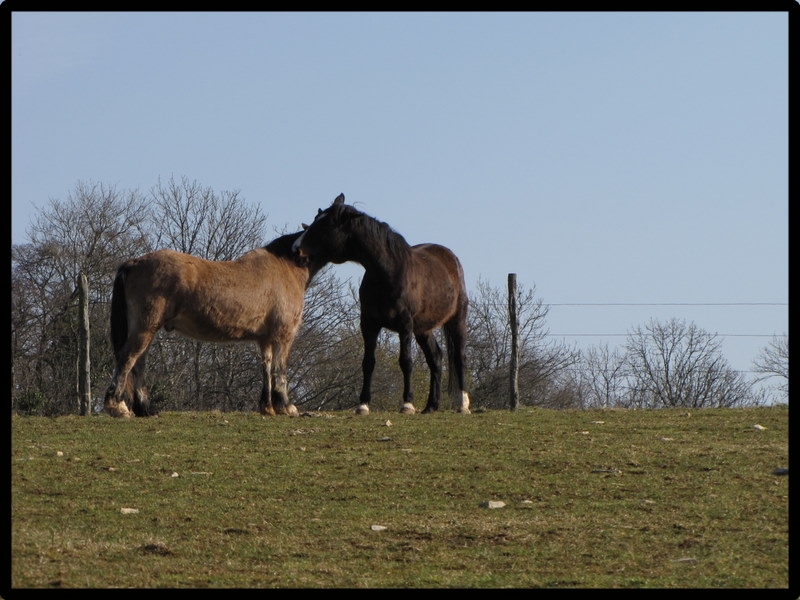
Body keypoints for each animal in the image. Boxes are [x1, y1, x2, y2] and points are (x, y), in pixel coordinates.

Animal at [104, 232, 324, 420]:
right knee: (128, 359)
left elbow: (267, 368)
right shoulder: (282, 337)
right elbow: (279, 369)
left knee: (138, 363)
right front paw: (285, 407)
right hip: (145, 328)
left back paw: (145, 409)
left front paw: (268, 408)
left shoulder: (265, 340)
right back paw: (118, 407)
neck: (284, 268)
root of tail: (134, 263)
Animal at [292, 195, 468, 414]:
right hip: (423, 329)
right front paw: (363, 404)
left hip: (456, 320)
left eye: (325, 225)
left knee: (459, 357)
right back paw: (431, 406)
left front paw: (407, 403)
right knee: (435, 358)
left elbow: (406, 361)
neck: (388, 273)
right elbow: (368, 362)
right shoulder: (369, 323)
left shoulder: (405, 325)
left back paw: (462, 403)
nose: (296, 249)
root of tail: (449, 257)